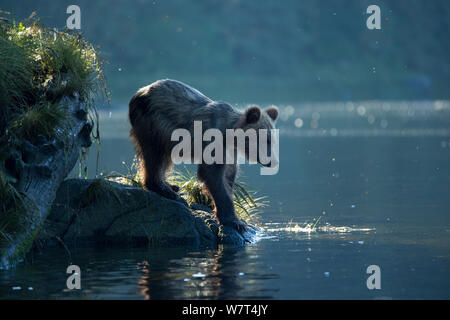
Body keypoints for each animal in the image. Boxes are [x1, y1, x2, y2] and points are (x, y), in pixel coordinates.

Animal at [127, 79, 278, 231]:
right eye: (265, 140)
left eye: (272, 140)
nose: (273, 162)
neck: (230, 137)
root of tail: (138, 93)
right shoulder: (213, 142)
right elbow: (212, 174)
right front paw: (234, 221)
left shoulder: (230, 152)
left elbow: (228, 175)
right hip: (154, 124)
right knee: (154, 155)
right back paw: (165, 190)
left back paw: (171, 185)